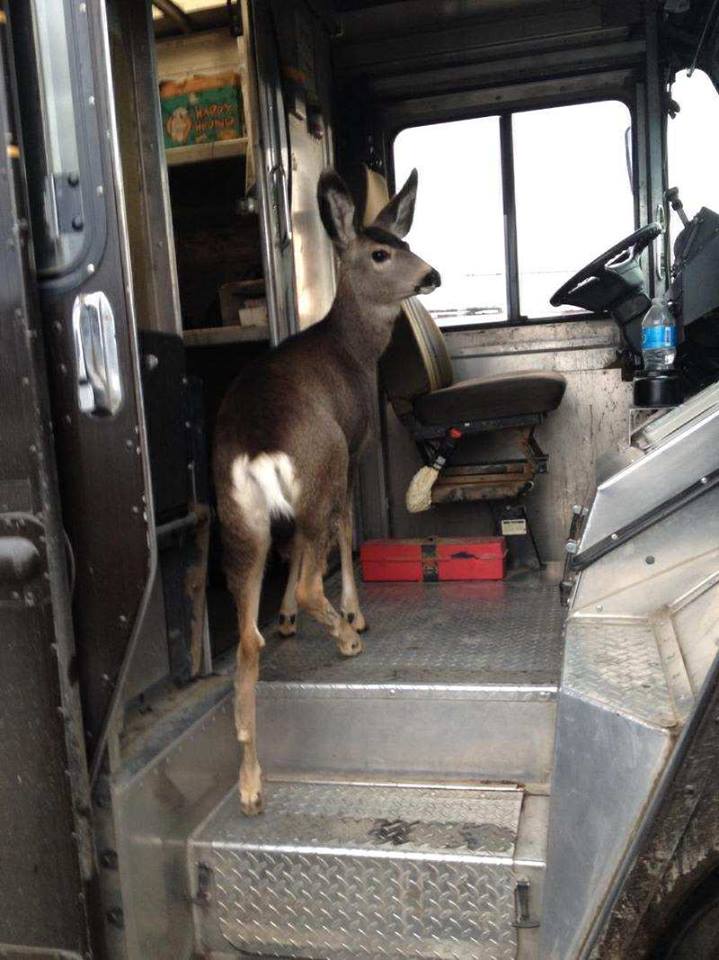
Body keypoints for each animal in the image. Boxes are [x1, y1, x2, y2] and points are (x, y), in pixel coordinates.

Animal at [213, 168, 441, 815]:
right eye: (382, 252)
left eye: (406, 242)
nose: (431, 275)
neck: (355, 349)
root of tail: (257, 442)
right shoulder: (355, 448)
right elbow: (346, 530)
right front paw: (356, 614)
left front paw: (288, 618)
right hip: (322, 464)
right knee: (315, 570)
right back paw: (344, 637)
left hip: (239, 519)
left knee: (247, 639)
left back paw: (251, 783)